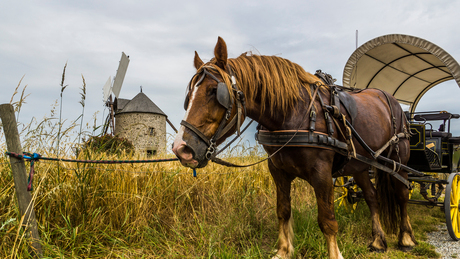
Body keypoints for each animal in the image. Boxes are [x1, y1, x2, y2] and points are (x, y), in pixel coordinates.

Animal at [172, 37, 416, 259]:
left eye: (215, 91)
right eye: (189, 95)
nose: (181, 148)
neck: (294, 114)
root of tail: (391, 99)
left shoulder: (322, 174)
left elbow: (327, 220)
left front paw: (334, 254)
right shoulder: (278, 170)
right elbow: (283, 211)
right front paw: (283, 250)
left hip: (399, 159)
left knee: (402, 193)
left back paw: (405, 237)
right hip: (361, 164)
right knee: (372, 196)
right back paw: (378, 240)